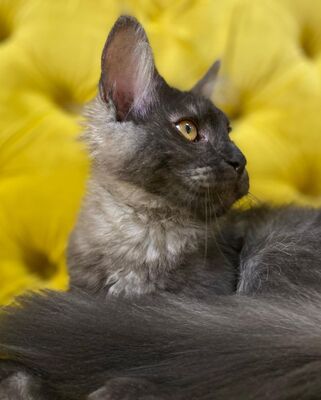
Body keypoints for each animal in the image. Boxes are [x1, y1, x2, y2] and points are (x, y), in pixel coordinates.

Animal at [3, 12, 321, 400]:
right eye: (188, 129)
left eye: (229, 133)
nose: (240, 160)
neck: (146, 229)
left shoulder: (196, 317)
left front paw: (113, 389)